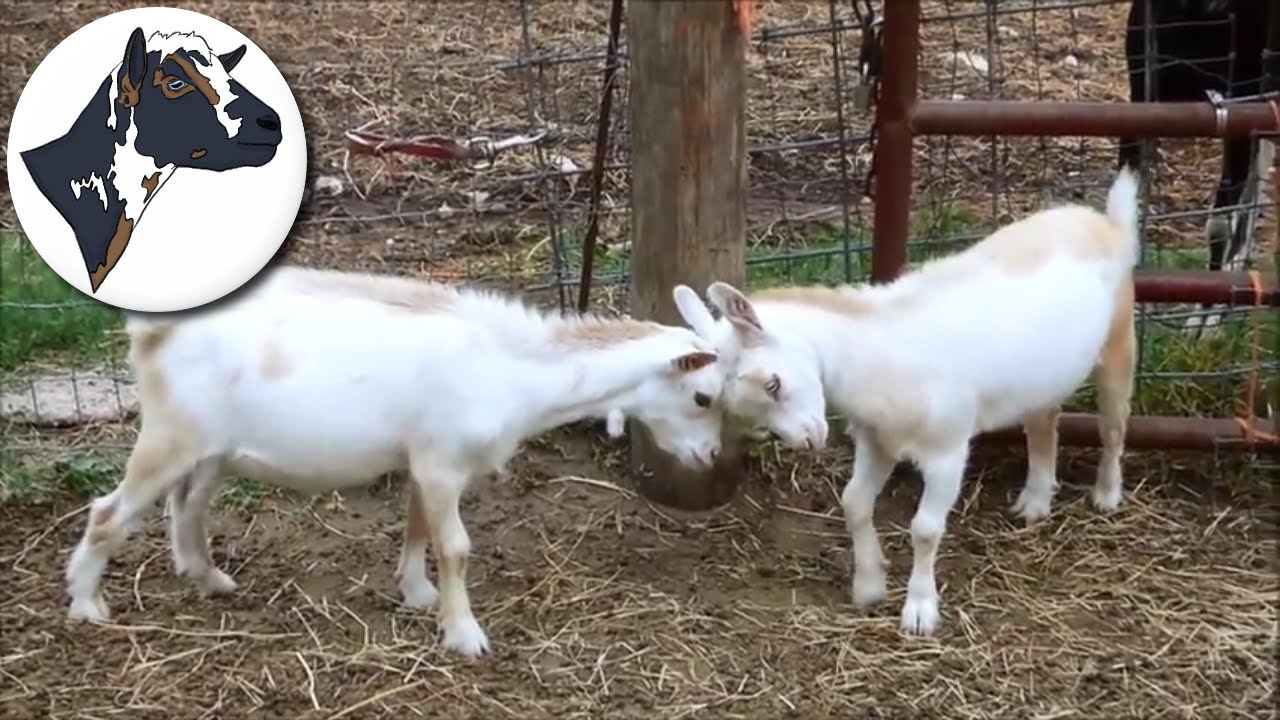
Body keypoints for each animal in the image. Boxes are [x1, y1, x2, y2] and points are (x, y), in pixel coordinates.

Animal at [65, 265, 731, 658]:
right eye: (703, 396)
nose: (711, 456)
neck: (513, 370)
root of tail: (150, 333)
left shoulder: (425, 456)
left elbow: (416, 527)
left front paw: (417, 592)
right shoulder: (440, 460)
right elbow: (456, 546)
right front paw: (465, 635)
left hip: (212, 447)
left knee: (188, 504)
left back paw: (208, 578)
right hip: (169, 434)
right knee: (108, 512)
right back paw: (87, 604)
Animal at [675, 169, 1140, 637]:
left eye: (773, 382)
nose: (807, 440)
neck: (881, 354)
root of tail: (1104, 222)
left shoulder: (947, 450)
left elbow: (926, 528)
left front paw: (919, 611)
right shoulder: (877, 440)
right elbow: (854, 503)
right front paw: (869, 586)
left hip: (1120, 339)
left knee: (1114, 424)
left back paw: (1106, 494)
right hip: (1043, 377)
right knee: (1044, 421)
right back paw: (1035, 502)